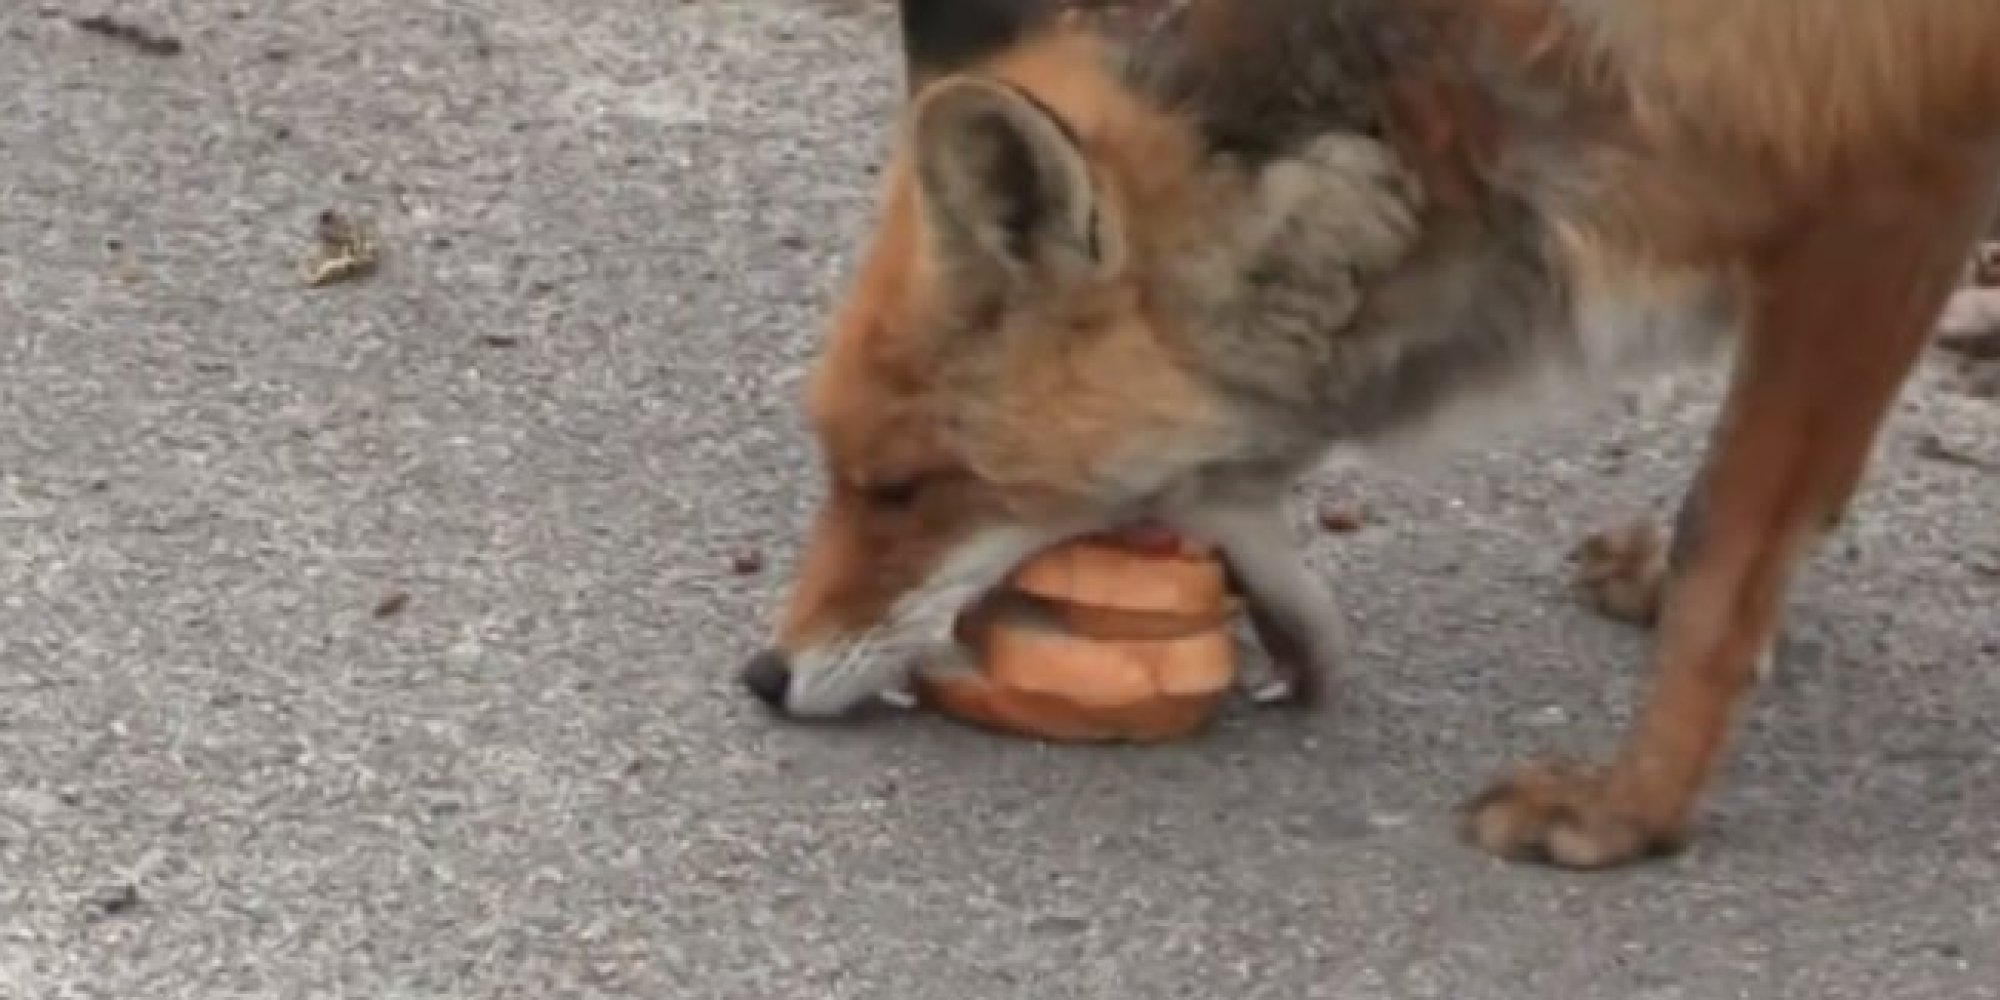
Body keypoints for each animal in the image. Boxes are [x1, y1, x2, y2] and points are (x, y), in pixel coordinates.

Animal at [738, 0, 2000, 870]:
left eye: (899, 487)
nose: (765, 675)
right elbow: (1787, 507)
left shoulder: (1885, 195)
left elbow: (1724, 546)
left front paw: (1630, 810)